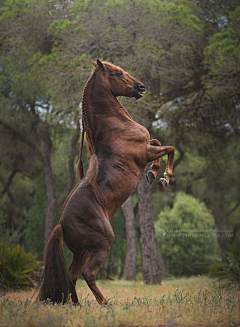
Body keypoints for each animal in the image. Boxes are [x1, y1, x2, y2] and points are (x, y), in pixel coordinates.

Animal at [39, 60, 174, 306]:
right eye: (118, 73)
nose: (141, 87)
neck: (116, 127)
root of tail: (61, 224)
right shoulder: (144, 152)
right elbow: (169, 148)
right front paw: (162, 178)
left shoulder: (148, 147)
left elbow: (159, 141)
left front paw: (152, 174)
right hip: (102, 244)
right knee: (88, 274)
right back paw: (105, 304)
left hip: (82, 251)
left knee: (72, 274)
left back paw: (77, 305)